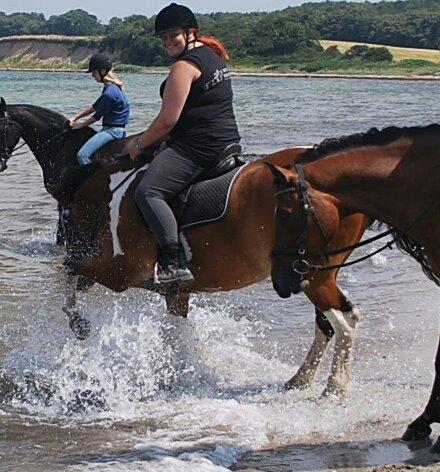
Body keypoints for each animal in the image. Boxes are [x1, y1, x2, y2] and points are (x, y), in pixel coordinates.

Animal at [0, 97, 372, 396]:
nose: (1, 164)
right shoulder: (173, 291)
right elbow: (174, 334)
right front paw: (184, 372)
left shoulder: (118, 272)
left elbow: (70, 271)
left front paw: (79, 324)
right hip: (318, 273)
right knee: (328, 323)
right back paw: (301, 380)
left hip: (312, 274)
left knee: (343, 322)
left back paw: (334, 387)